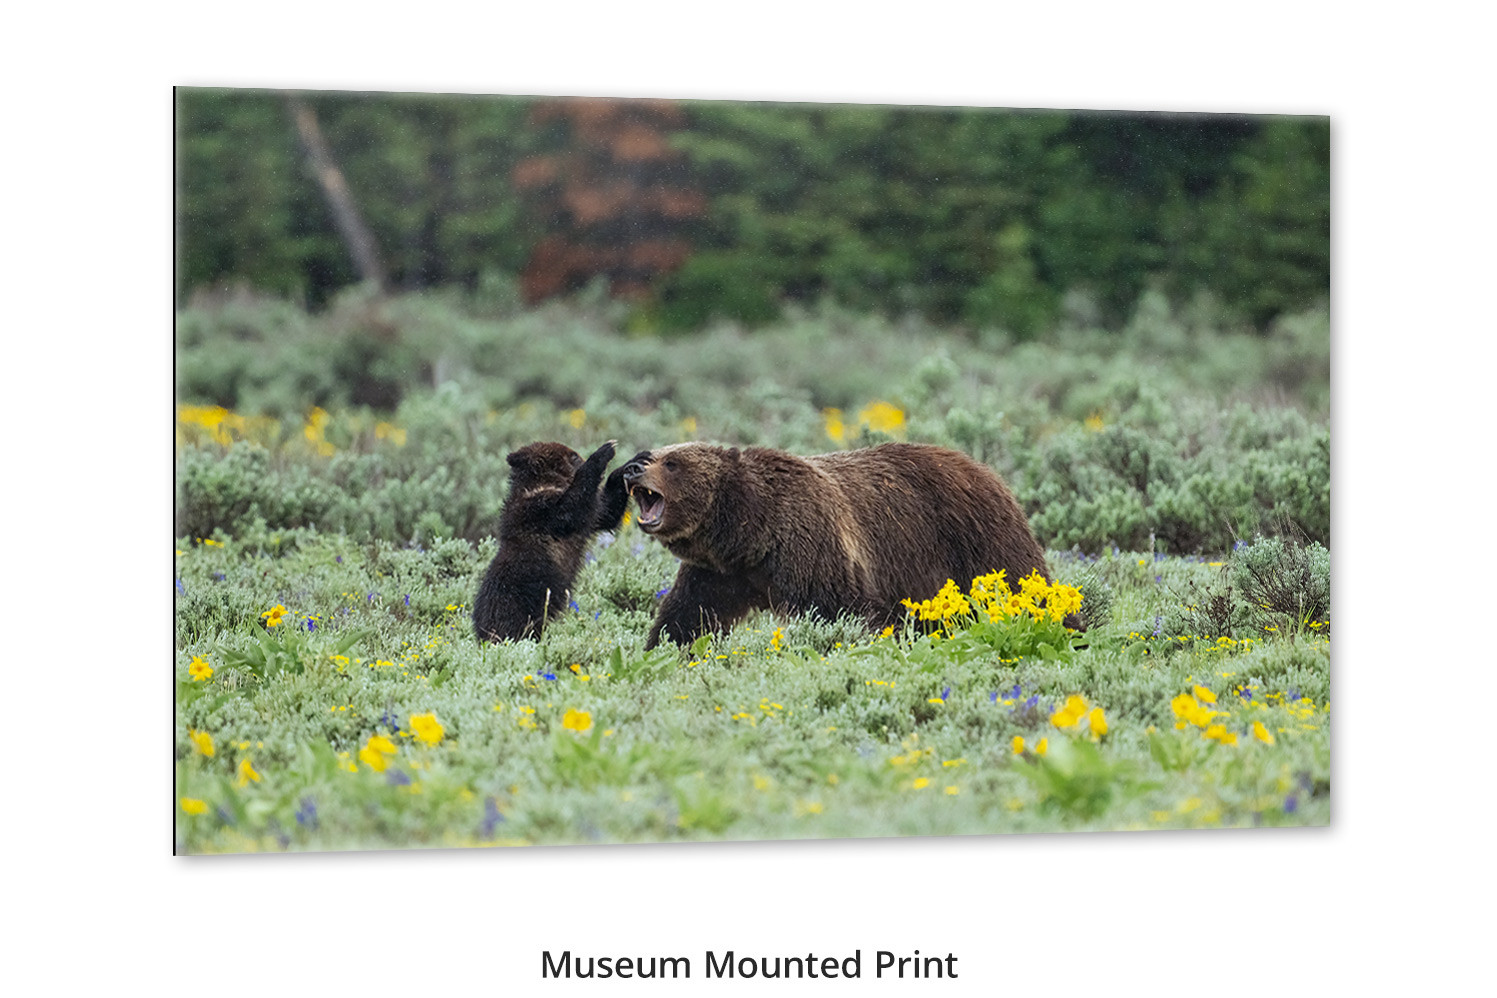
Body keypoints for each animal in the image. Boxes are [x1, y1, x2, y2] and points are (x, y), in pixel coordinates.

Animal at [472, 439, 630, 642]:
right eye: (574, 456)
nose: (581, 456)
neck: (545, 483)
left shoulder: (590, 515)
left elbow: (606, 511)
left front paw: (626, 468)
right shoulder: (537, 510)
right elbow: (569, 509)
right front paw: (604, 451)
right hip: (515, 598)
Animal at [619, 441, 1077, 648]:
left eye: (671, 462)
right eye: (654, 454)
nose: (633, 467)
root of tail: (986, 469)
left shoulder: (815, 546)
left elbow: (841, 611)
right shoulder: (717, 573)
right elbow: (689, 614)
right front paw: (664, 646)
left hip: (978, 539)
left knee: (1025, 583)